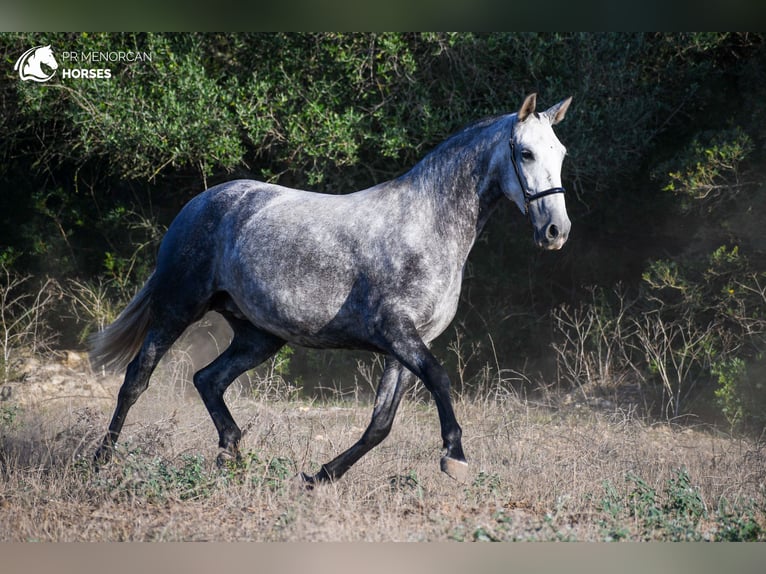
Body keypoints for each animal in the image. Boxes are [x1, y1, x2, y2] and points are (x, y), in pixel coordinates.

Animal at [90, 93, 572, 486]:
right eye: (525, 153)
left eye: (561, 152)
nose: (556, 231)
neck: (426, 226)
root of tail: (197, 204)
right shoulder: (397, 332)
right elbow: (439, 378)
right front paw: (455, 457)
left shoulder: (407, 346)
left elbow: (380, 424)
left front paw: (319, 476)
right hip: (178, 308)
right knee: (136, 378)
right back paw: (101, 461)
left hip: (259, 336)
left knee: (207, 379)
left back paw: (232, 460)